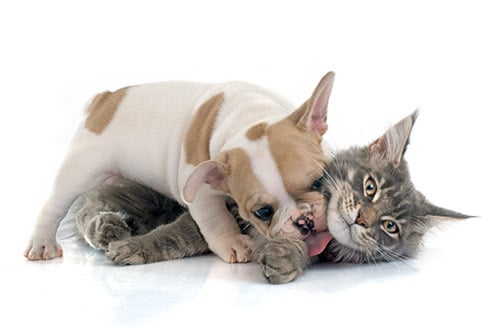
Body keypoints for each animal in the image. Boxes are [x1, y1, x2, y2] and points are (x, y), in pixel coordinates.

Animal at [73, 111, 468, 284]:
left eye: (390, 227)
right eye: (370, 187)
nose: (361, 219)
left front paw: (284, 259)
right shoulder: (225, 207)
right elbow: (176, 235)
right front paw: (134, 248)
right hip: (145, 191)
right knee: (87, 203)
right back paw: (107, 229)